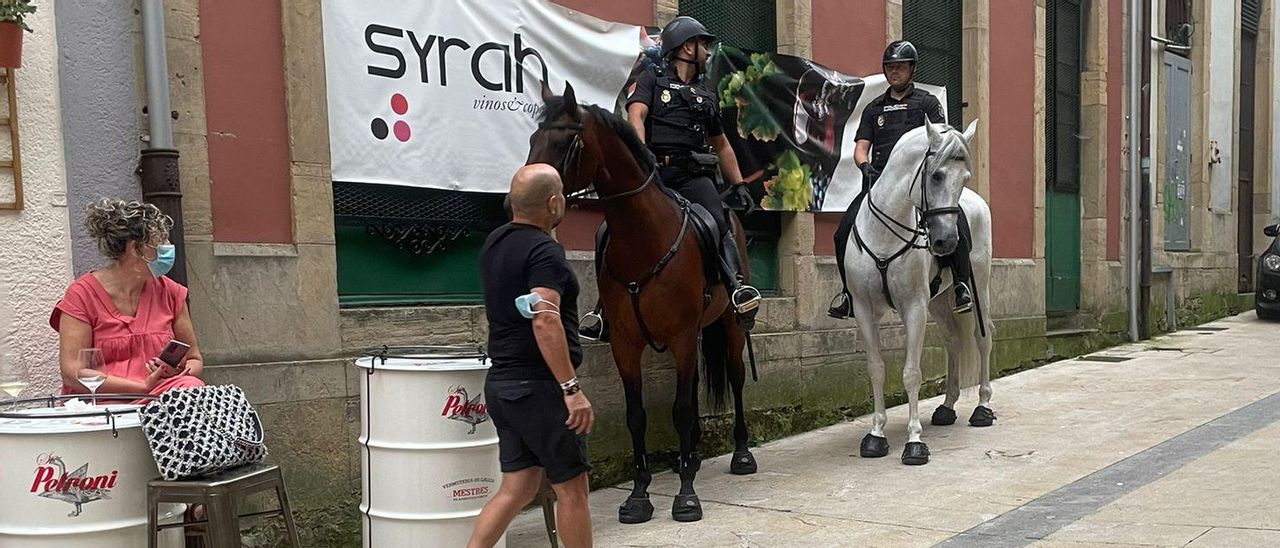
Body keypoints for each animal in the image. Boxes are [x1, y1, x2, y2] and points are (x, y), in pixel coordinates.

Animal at [524, 83, 752, 524]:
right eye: (532, 139)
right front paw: (639, 494)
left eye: (563, 142)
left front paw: (686, 497)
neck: (643, 237)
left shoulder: (681, 336)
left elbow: (680, 411)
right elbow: (637, 416)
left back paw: (741, 453)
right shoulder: (626, 344)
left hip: (729, 327)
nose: (516, 199)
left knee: (735, 378)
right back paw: (689, 457)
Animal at [844, 117, 993, 463]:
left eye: (964, 177)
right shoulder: (863, 309)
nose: (946, 242)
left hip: (979, 287)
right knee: (954, 341)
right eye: (936, 175)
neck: (886, 234)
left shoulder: (913, 307)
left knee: (983, 338)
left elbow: (911, 372)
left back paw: (982, 407)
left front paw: (914, 441)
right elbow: (876, 369)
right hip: (938, 302)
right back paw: (947, 407)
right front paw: (876, 434)